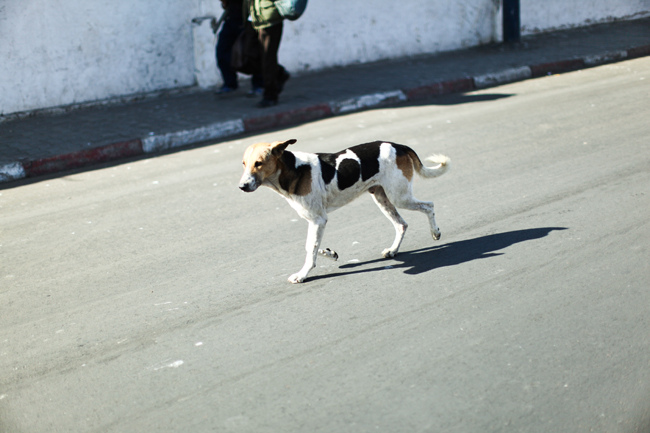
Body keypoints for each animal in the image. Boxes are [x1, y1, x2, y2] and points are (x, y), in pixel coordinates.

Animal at [239, 139, 450, 284]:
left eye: (259, 163)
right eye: (243, 163)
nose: (241, 186)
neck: (294, 170)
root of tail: (399, 145)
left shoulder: (318, 220)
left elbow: (310, 248)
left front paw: (303, 274)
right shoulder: (315, 222)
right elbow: (311, 247)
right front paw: (329, 253)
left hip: (400, 197)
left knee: (429, 206)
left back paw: (435, 232)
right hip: (383, 199)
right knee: (402, 224)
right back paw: (393, 250)